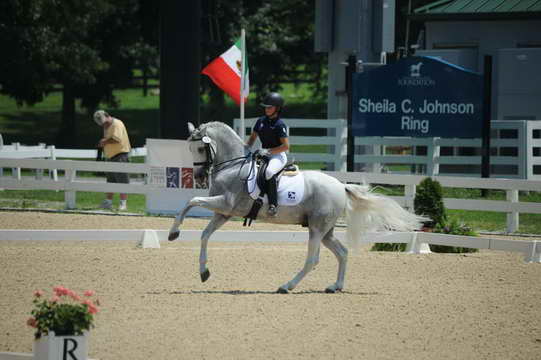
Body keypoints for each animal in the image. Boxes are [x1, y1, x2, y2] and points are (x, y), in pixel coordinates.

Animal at [167, 121, 424, 292]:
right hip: (326, 230)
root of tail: (341, 186)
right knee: (342, 252)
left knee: (313, 260)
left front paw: (173, 233)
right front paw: (203, 271)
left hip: (317, 228)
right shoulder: (224, 213)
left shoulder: (226, 204)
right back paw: (335, 286)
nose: (199, 177)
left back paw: (286, 286)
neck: (233, 167)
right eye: (191, 149)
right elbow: (204, 234)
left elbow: (191, 201)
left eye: (201, 148)